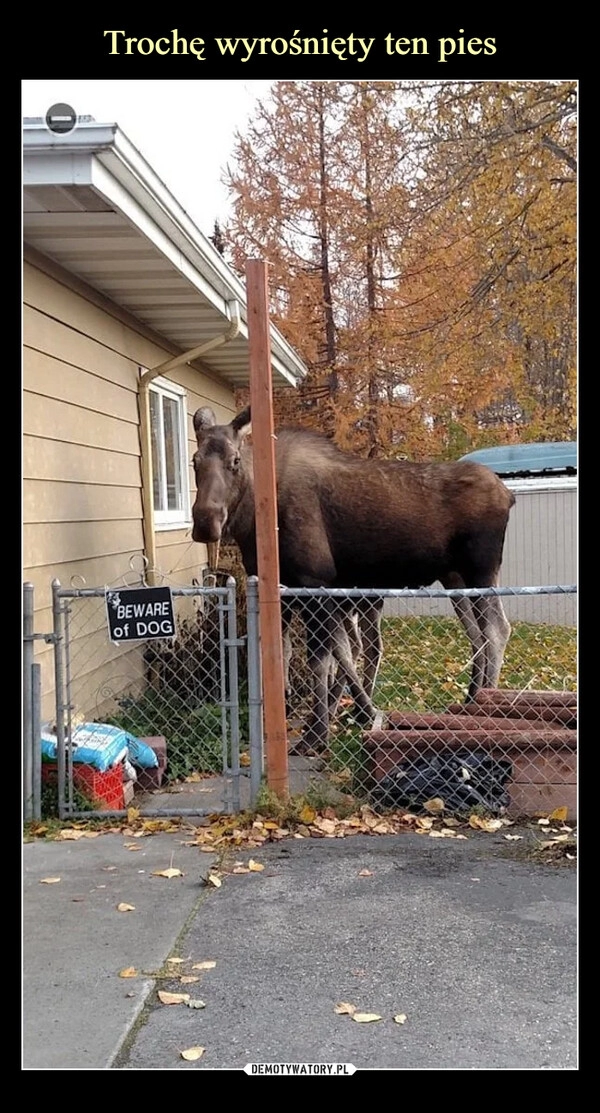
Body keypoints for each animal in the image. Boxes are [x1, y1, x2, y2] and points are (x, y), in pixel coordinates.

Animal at [192, 405, 516, 752]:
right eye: (195, 460)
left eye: (235, 460)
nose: (205, 522)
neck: (254, 521)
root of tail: (508, 495)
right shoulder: (288, 592)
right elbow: (295, 653)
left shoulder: (314, 582)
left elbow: (322, 659)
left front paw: (317, 733)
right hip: (455, 579)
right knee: (476, 636)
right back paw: (470, 700)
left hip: (481, 571)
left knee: (497, 630)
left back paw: (485, 709)